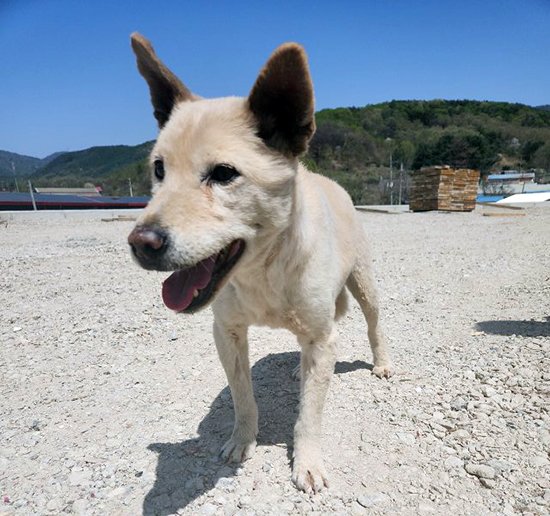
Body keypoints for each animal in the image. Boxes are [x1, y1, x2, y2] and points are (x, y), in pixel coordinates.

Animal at [128, 32, 396, 492]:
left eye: (223, 173)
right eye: (159, 169)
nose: (140, 243)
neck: (263, 271)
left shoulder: (321, 337)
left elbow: (309, 415)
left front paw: (307, 462)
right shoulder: (227, 332)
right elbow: (242, 397)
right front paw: (242, 441)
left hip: (364, 284)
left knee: (373, 325)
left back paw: (380, 363)